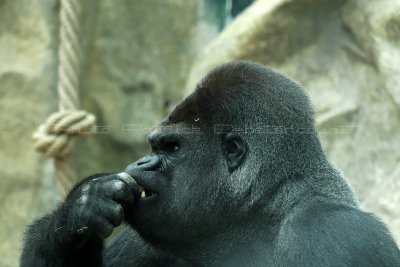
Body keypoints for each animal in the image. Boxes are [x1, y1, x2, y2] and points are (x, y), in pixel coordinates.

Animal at [20, 61, 398, 266]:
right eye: (154, 145)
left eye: (171, 148)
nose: (143, 161)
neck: (258, 213)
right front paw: (83, 206)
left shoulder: (333, 233)